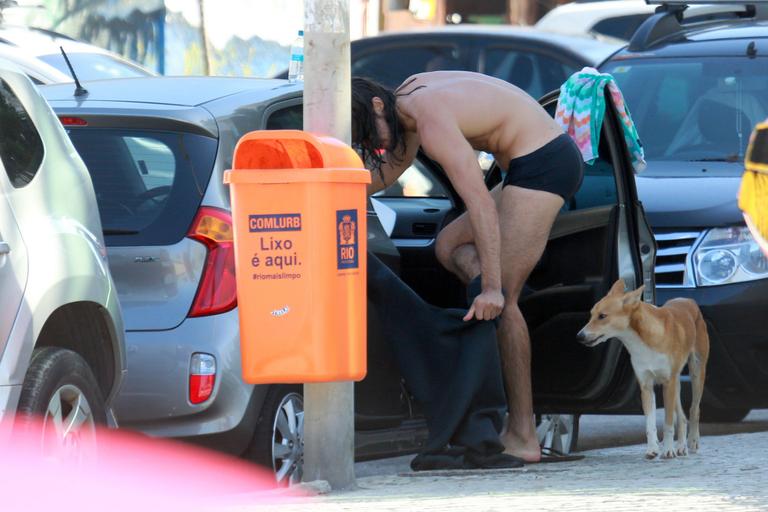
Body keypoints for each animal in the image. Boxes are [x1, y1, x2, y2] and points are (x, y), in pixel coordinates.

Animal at [580, 280, 712, 460]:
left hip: (696, 372)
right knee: (682, 417)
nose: (579, 336)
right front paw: (652, 449)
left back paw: (692, 441)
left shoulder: (668, 383)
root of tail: (688, 300)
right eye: (591, 314)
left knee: (694, 409)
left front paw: (667, 450)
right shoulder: (646, 386)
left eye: (602, 316)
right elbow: (650, 423)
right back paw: (681, 446)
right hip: (676, 383)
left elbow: (668, 423)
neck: (644, 341)